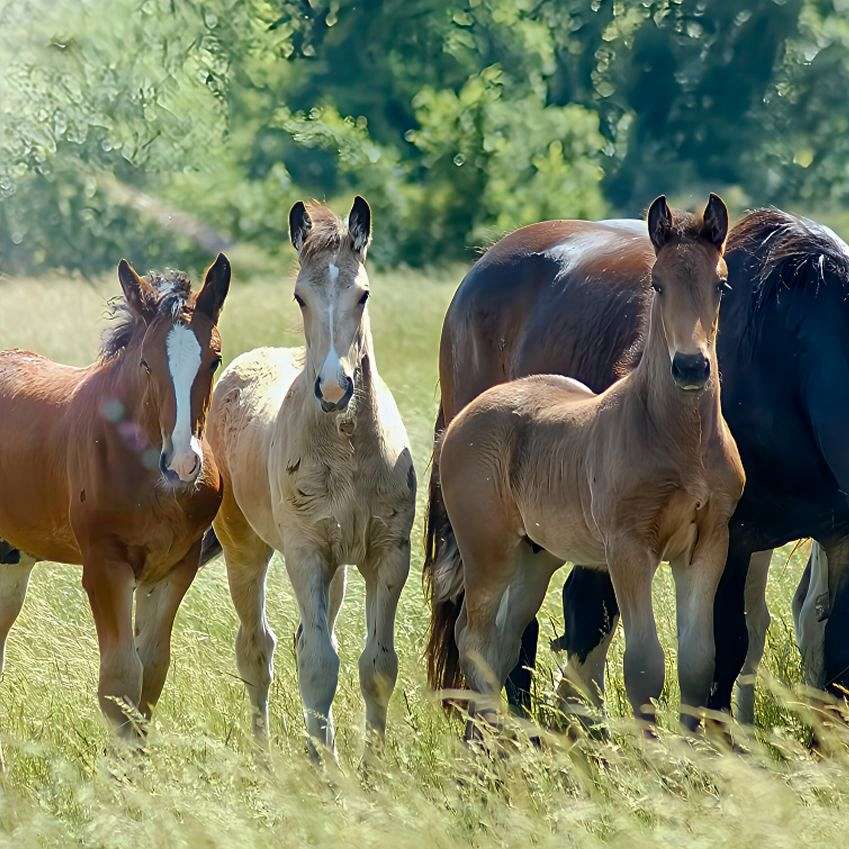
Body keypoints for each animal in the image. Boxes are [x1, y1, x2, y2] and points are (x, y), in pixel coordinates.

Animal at [0, 255, 230, 760]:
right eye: (146, 362)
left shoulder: (174, 569)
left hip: (12, 558)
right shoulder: (105, 566)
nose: (183, 465)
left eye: (215, 359)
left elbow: (150, 679)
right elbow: (120, 681)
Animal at [207, 199, 416, 756]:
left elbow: (377, 666)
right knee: (257, 648)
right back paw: (266, 758)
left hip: (337, 568)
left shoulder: (388, 554)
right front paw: (326, 768)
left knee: (305, 639)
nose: (334, 388)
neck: (347, 449)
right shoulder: (305, 555)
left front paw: (371, 765)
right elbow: (320, 667)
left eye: (363, 294)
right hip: (246, 550)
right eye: (300, 296)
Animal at [424, 205, 849, 724]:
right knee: (505, 633)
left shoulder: (836, 537)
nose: (690, 366)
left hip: (541, 539)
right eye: (656, 287)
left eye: (723, 287)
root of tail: (484, 264)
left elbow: (832, 653)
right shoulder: (735, 537)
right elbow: (725, 648)